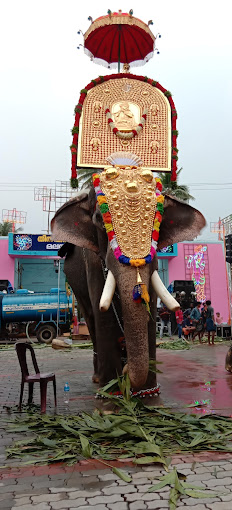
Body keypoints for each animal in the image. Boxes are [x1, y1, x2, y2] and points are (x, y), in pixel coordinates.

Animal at [51, 164, 206, 394]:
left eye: (158, 220)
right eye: (100, 219)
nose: (125, 370)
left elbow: (149, 316)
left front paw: (148, 392)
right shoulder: (93, 262)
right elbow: (104, 316)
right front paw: (111, 393)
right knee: (90, 316)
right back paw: (98, 378)